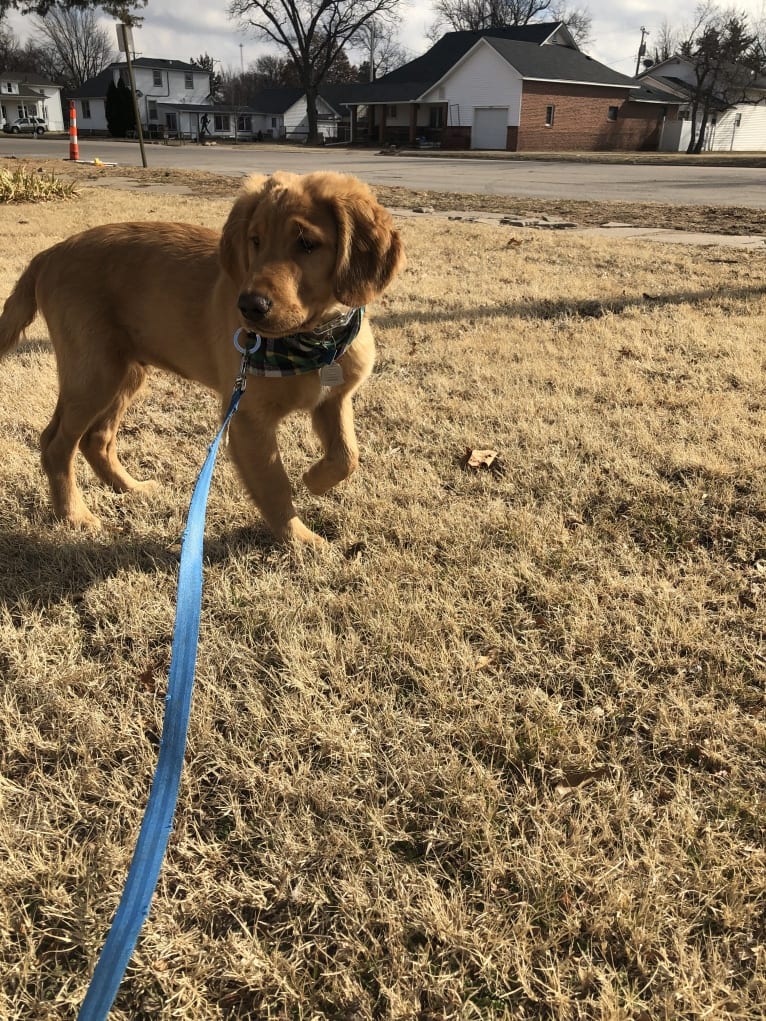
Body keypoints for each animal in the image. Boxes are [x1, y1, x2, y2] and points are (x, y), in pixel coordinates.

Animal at [0, 171, 404, 547]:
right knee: (55, 444)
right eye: (255, 241)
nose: (249, 307)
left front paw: (315, 481)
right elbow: (274, 484)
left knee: (95, 439)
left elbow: (347, 455)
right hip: (94, 374)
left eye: (307, 244)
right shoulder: (246, 418)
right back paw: (75, 516)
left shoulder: (333, 399)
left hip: (124, 373)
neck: (312, 340)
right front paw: (301, 540)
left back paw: (130, 487)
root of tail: (49, 254)